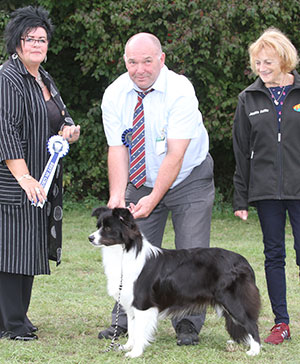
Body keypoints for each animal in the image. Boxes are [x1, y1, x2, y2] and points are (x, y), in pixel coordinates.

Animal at [88, 206, 260, 356]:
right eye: (98, 226)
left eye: (108, 228)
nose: (90, 238)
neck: (124, 251)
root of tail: (244, 262)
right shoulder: (130, 303)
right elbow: (132, 329)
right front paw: (127, 347)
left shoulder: (143, 304)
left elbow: (140, 331)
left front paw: (135, 353)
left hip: (233, 300)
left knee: (251, 324)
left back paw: (254, 350)